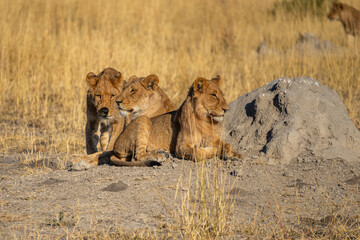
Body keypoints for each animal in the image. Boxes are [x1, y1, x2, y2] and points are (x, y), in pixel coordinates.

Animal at [110, 75, 242, 167]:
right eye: (213, 95)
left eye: (222, 94)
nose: (226, 109)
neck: (206, 120)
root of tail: (116, 146)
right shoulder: (181, 147)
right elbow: (198, 153)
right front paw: (212, 150)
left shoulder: (213, 138)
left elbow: (227, 145)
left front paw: (235, 155)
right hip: (143, 119)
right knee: (136, 156)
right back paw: (157, 156)